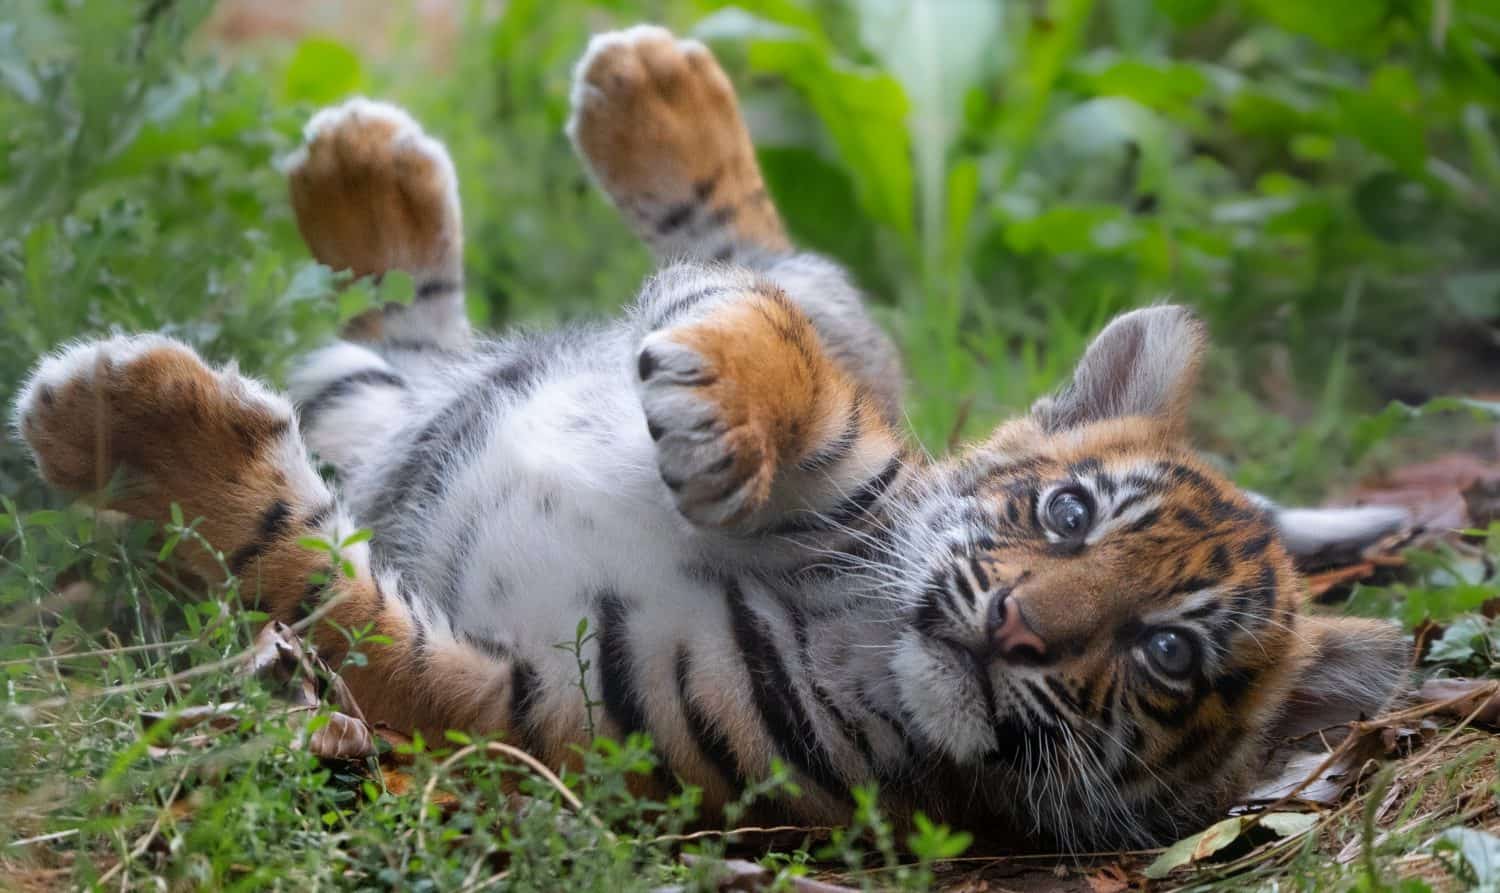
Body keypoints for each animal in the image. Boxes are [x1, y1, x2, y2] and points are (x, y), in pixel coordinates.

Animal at [11, 25, 1411, 850]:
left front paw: (117, 424)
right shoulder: (858, 446)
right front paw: (722, 415)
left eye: (1166, 651)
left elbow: (305, 582)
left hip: (371, 417)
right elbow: (775, 338)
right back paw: (517, 123)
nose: (1019, 627)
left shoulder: (522, 711)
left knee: (385, 343)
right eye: (1070, 514)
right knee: (748, 260)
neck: (860, 631)